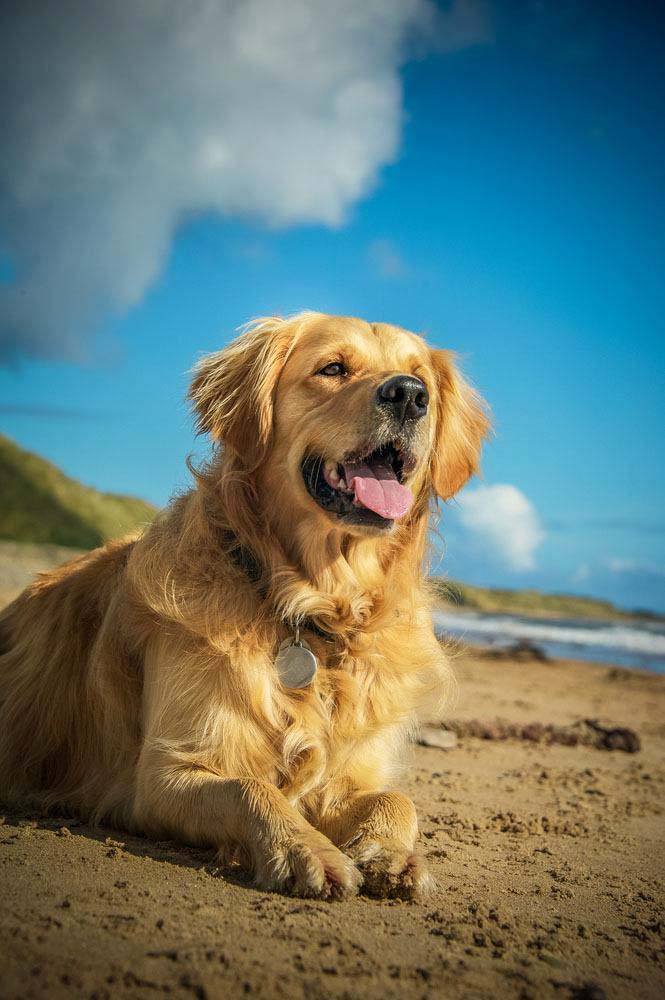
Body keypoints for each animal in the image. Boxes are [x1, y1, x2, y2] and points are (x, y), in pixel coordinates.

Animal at [0, 312, 488, 900]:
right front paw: (306, 851)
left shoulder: (351, 773)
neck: (310, 605)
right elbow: (253, 790)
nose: (409, 395)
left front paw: (390, 856)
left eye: (421, 379)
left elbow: (397, 799)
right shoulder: (165, 773)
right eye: (333, 369)